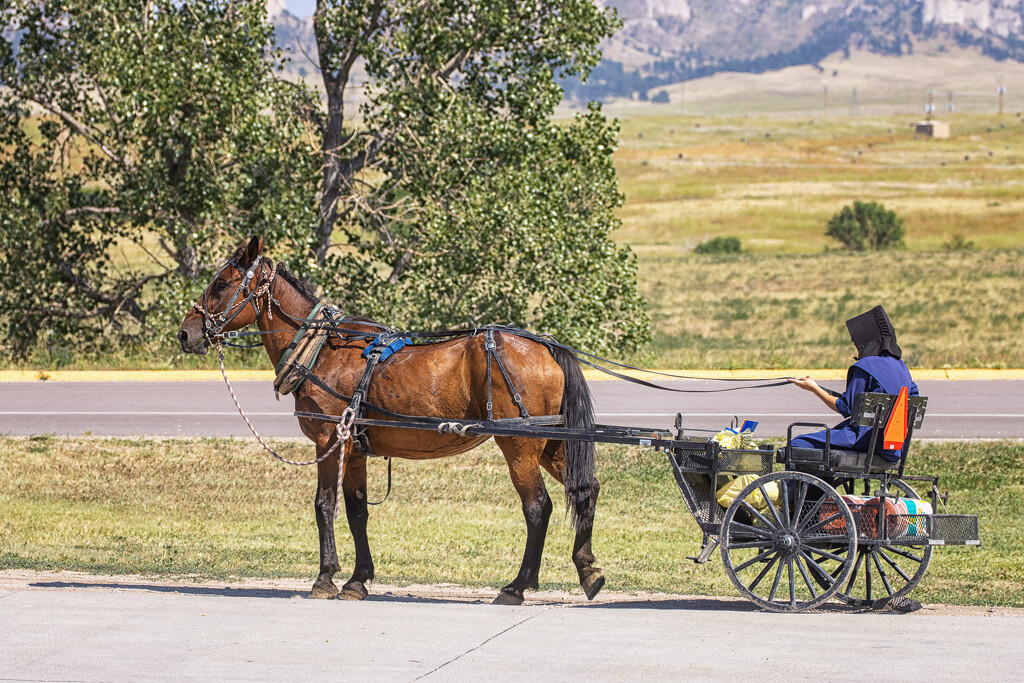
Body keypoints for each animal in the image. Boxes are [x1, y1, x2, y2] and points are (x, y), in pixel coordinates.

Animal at [179, 237, 602, 606]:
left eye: (221, 284)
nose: (186, 333)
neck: (322, 351)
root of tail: (547, 346)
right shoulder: (354, 451)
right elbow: (357, 512)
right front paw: (357, 580)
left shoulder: (330, 439)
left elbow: (324, 505)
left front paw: (325, 578)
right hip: (552, 442)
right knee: (586, 490)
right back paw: (589, 571)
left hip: (519, 444)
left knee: (537, 507)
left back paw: (516, 586)